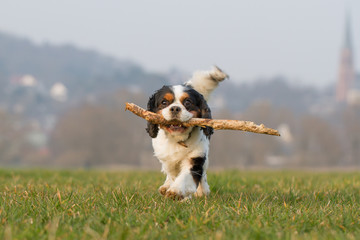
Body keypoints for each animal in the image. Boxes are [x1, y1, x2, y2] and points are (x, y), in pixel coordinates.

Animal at [145, 66, 226, 200]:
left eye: (187, 102)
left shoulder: (196, 157)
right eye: (164, 102)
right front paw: (174, 191)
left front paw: (176, 191)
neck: (178, 139)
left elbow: (186, 176)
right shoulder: (168, 160)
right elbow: (173, 174)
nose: (175, 108)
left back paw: (202, 190)